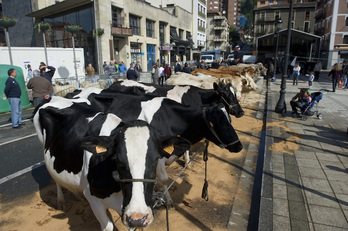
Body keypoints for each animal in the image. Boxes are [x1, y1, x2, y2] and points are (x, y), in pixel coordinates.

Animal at [33, 96, 189, 230]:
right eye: (117, 160)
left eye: (155, 160)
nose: (138, 218)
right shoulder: (94, 200)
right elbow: (108, 226)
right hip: (41, 143)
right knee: (55, 179)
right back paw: (61, 201)